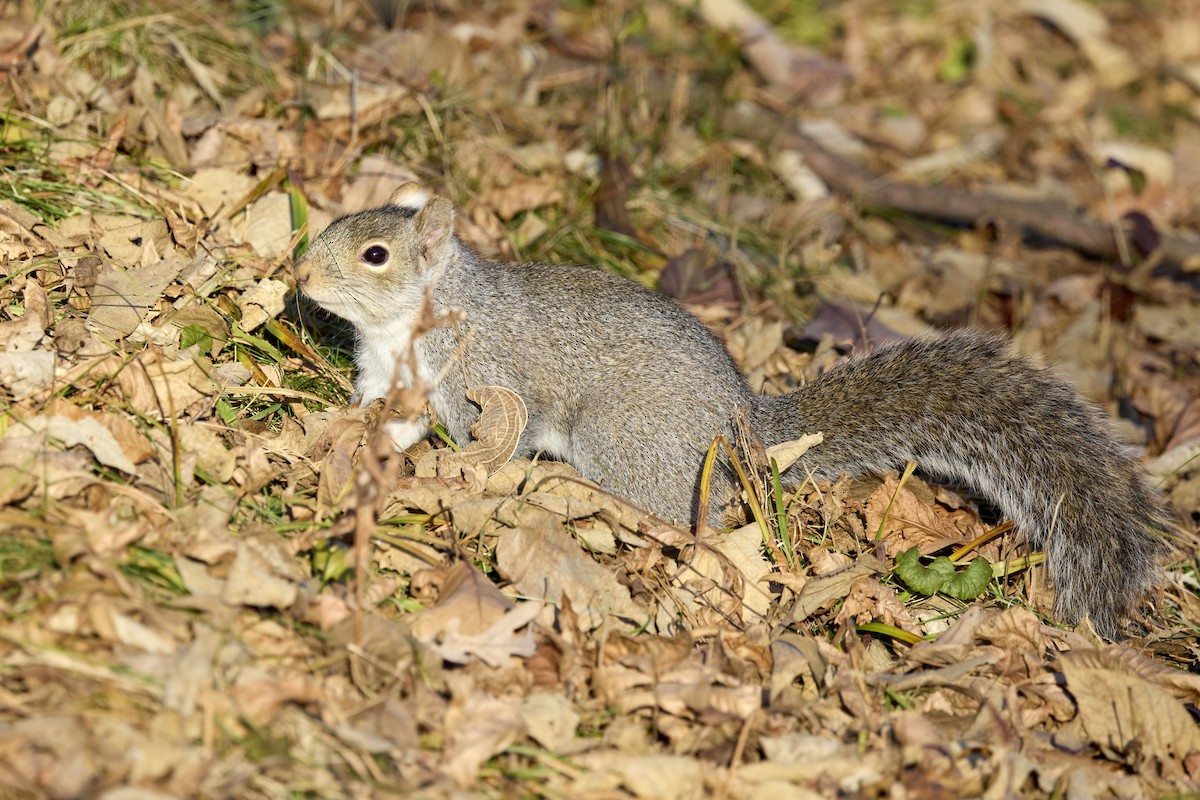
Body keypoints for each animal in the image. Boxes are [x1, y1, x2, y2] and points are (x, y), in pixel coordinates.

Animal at [294, 182, 1168, 638]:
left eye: (375, 255)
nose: (299, 277)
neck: (411, 324)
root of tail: (748, 426)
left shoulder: (485, 376)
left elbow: (487, 438)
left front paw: (452, 473)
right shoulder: (393, 379)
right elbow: (389, 418)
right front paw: (350, 440)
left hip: (623, 437)